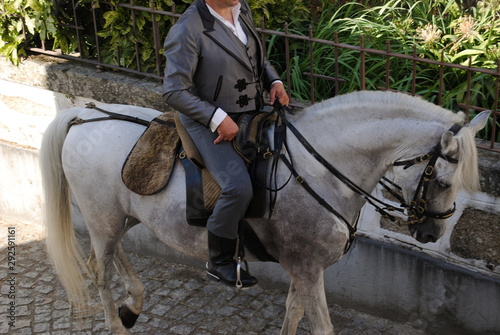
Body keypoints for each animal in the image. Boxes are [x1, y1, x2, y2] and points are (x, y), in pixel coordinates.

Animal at [40, 90, 488, 334]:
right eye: (443, 181)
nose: (431, 233)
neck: (318, 169)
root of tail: (85, 115)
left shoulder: (303, 268)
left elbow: (293, 312)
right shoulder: (307, 267)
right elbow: (320, 325)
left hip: (115, 216)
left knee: (114, 254)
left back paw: (133, 304)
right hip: (103, 217)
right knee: (99, 268)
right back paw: (118, 323)